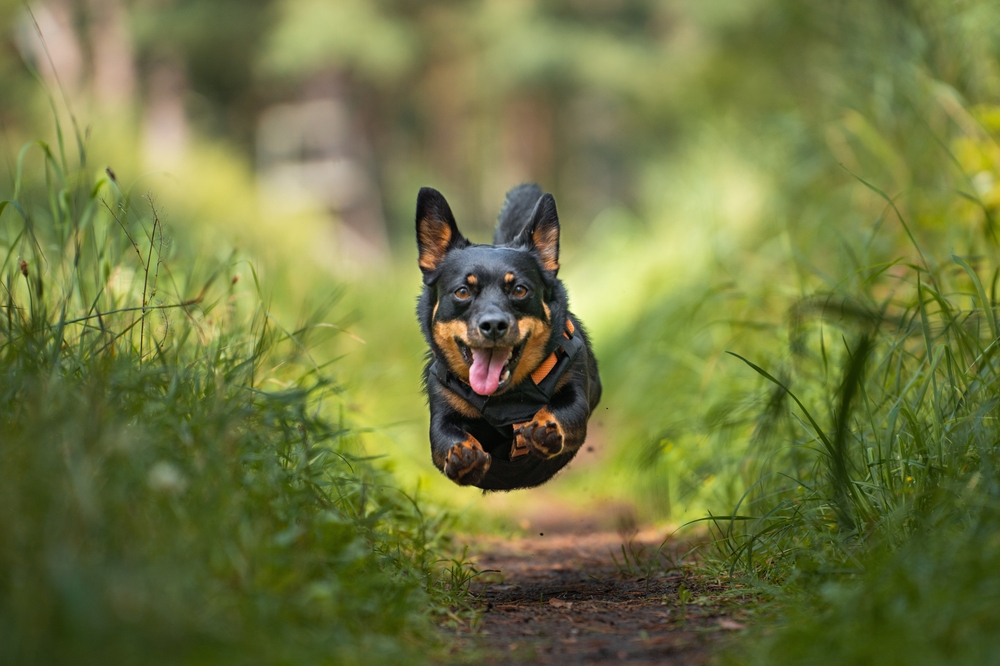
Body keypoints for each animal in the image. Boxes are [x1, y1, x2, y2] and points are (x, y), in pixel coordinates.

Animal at [414, 182, 600, 488]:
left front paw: (543, 428)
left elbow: (564, 412)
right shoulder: (442, 413)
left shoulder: (575, 389)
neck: (506, 397)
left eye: (520, 290)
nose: (493, 324)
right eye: (462, 291)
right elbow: (446, 438)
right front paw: (462, 453)